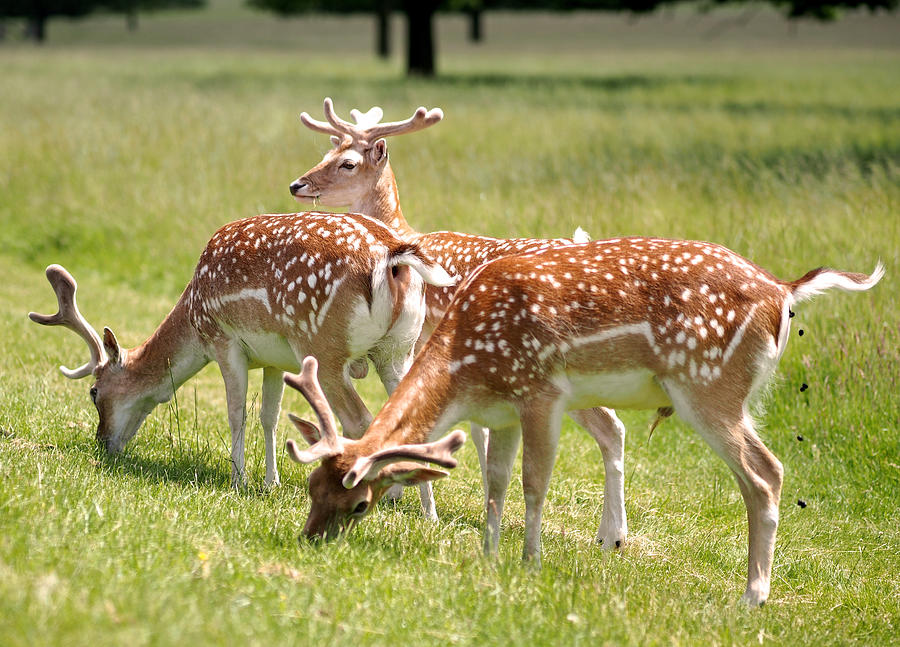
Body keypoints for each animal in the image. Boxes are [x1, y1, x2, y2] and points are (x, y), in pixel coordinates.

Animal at [30, 211, 454, 486]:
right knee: (411, 426)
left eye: (93, 391)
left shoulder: (225, 341)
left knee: (361, 421)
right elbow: (269, 416)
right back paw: (425, 511)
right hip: (398, 350)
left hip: (324, 345)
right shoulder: (275, 359)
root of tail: (392, 255)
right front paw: (271, 482)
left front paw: (239, 481)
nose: (103, 443)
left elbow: (237, 413)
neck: (193, 315)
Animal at [284, 238, 884, 608]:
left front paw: (529, 563)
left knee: (764, 474)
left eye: (359, 504)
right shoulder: (502, 410)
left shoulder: (541, 392)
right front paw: (487, 556)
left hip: (709, 387)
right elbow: (496, 481)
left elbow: (534, 482)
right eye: (311, 486)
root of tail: (785, 293)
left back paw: (752, 596)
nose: (308, 538)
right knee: (767, 471)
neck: (467, 365)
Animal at [292, 98, 628, 548]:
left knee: (611, 427)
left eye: (347, 163)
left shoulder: (424, 345)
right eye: (327, 152)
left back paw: (612, 537)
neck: (402, 229)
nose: (297, 185)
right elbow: (480, 429)